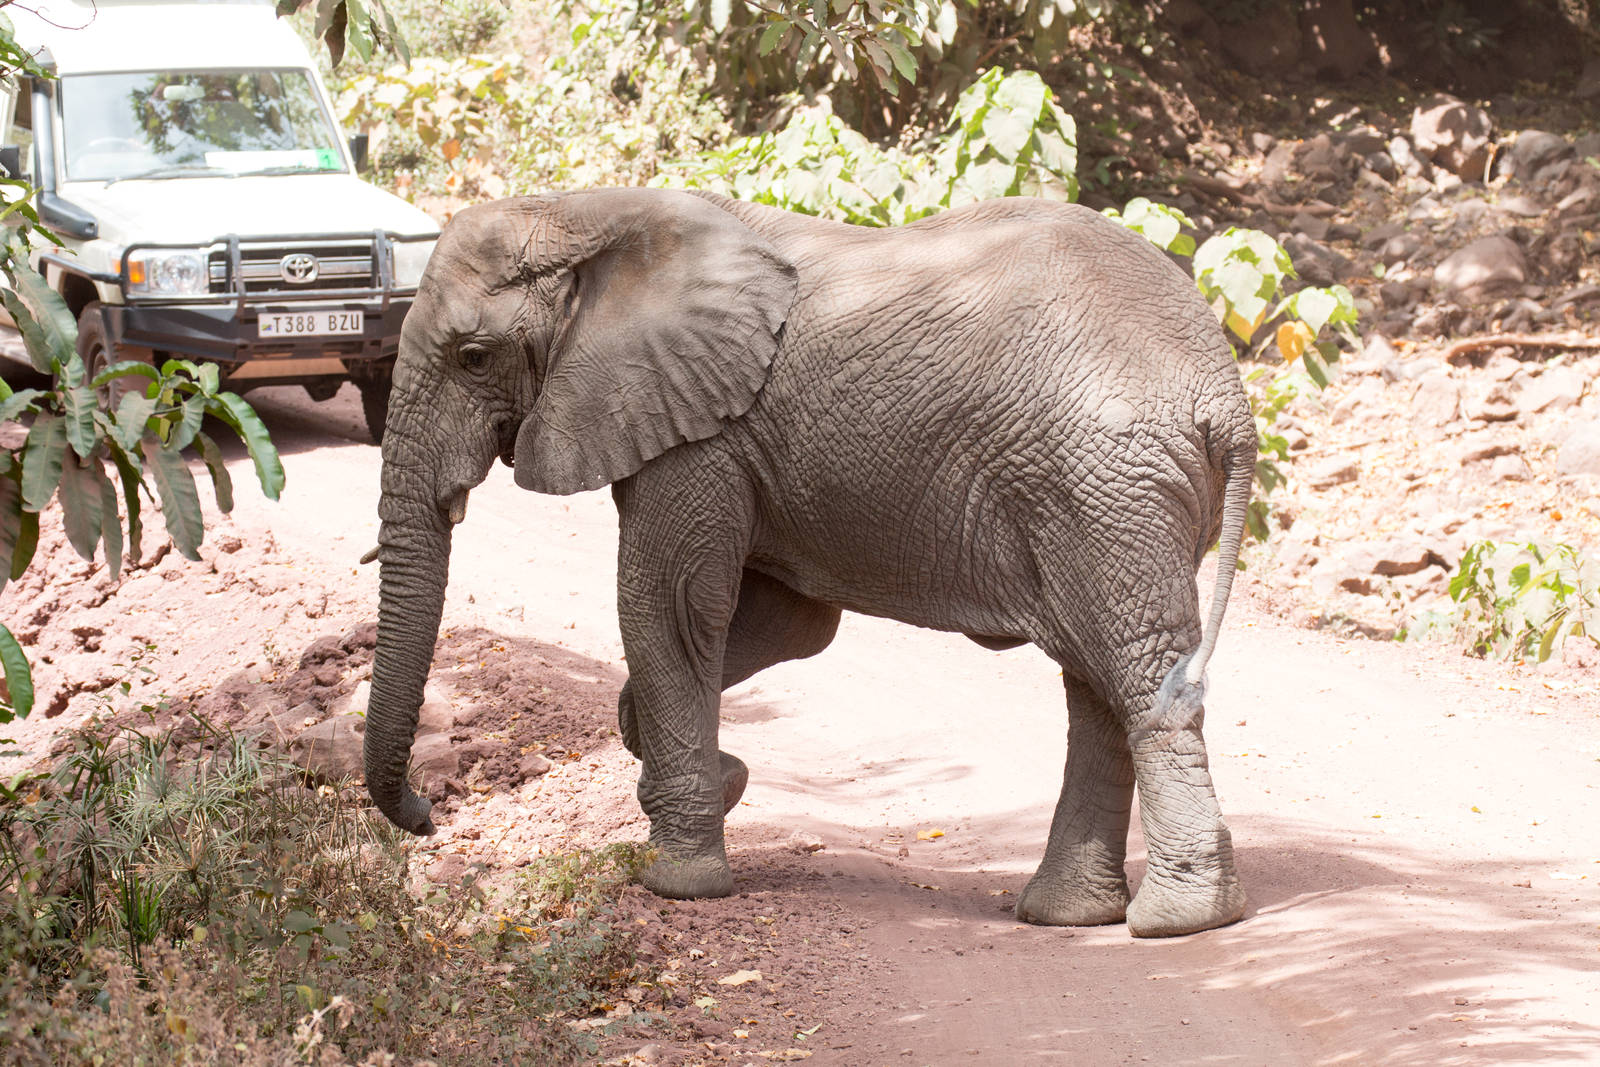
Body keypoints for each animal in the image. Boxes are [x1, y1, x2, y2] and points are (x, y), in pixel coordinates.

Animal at [364, 187, 1258, 938]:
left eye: (474, 356)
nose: (427, 814)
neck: (586, 211)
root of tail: (1225, 393)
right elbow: (785, 620)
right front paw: (714, 778)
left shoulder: (700, 430)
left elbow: (669, 605)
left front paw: (677, 881)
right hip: (1100, 498)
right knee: (1094, 679)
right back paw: (1070, 915)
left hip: (1106, 484)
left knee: (1133, 668)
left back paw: (1177, 921)